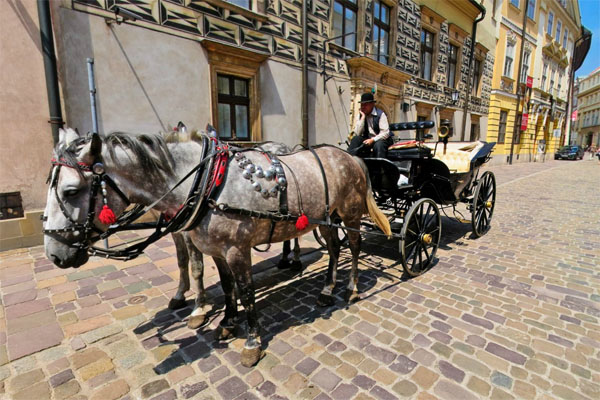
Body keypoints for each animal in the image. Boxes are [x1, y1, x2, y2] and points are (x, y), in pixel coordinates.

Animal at [42, 127, 390, 366]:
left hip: (350, 214)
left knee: (354, 247)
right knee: (333, 250)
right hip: (326, 218)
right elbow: (225, 286)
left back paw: (351, 288)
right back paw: (327, 290)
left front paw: (252, 342)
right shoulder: (216, 249)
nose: (54, 255)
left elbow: (246, 291)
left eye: (71, 191)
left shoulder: (237, 249)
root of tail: (352, 157)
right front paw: (226, 323)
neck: (208, 182)